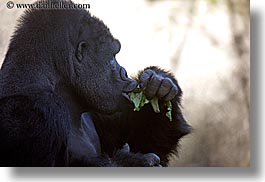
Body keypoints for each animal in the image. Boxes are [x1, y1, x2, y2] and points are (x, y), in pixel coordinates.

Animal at [0, 0, 190, 167]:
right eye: (113, 56)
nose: (124, 72)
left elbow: (144, 142)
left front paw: (159, 84)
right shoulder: (31, 114)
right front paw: (136, 161)